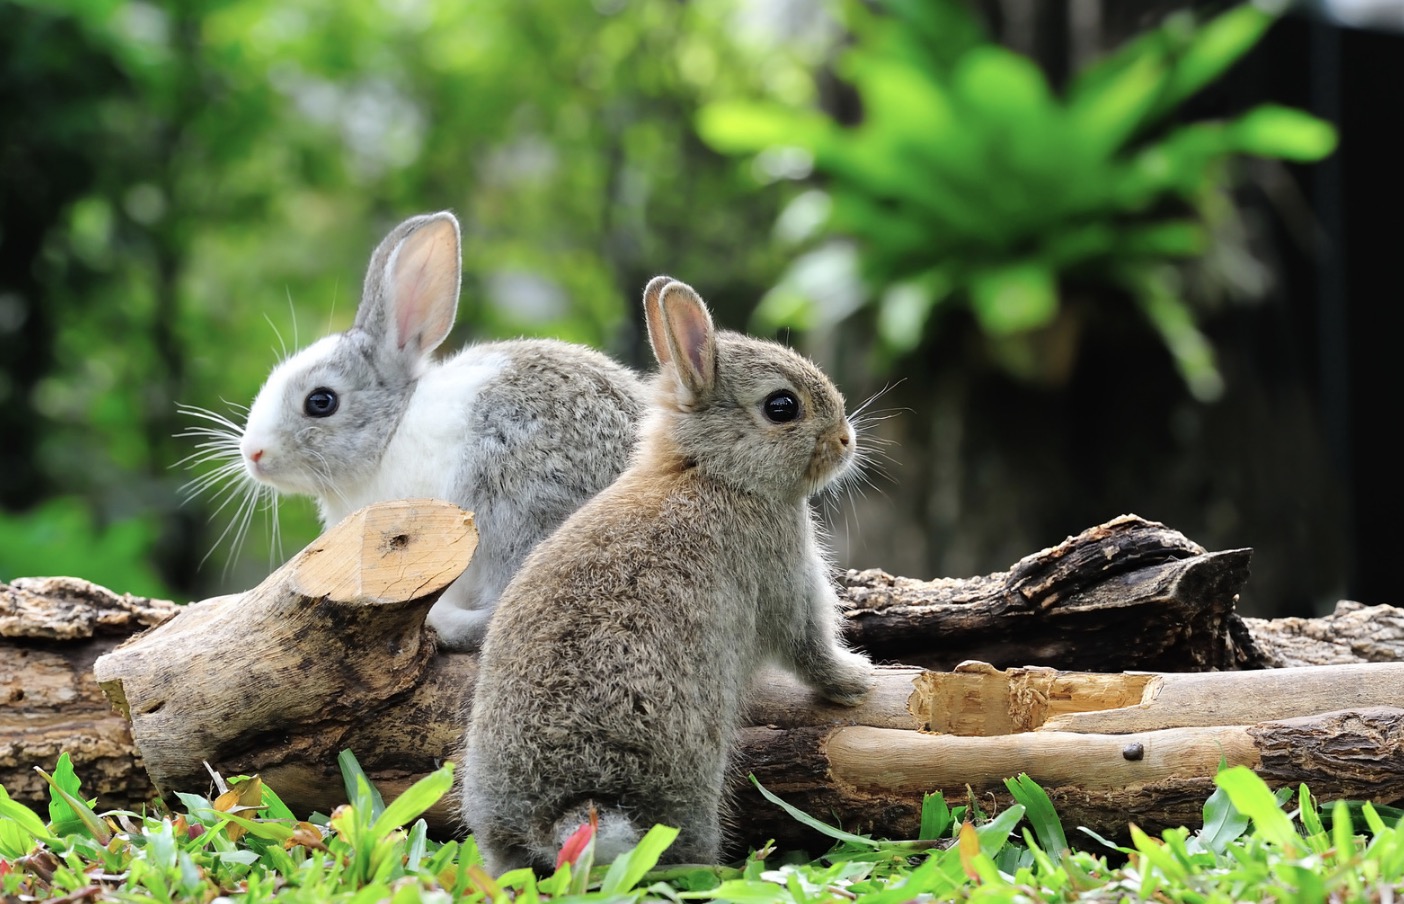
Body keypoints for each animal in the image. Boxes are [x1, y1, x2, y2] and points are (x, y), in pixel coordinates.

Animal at [460, 276, 875, 873]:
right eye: (782, 406)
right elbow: (809, 647)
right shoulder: (785, 576)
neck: (712, 472)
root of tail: (560, 813)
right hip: (688, 778)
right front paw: (857, 681)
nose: (845, 440)